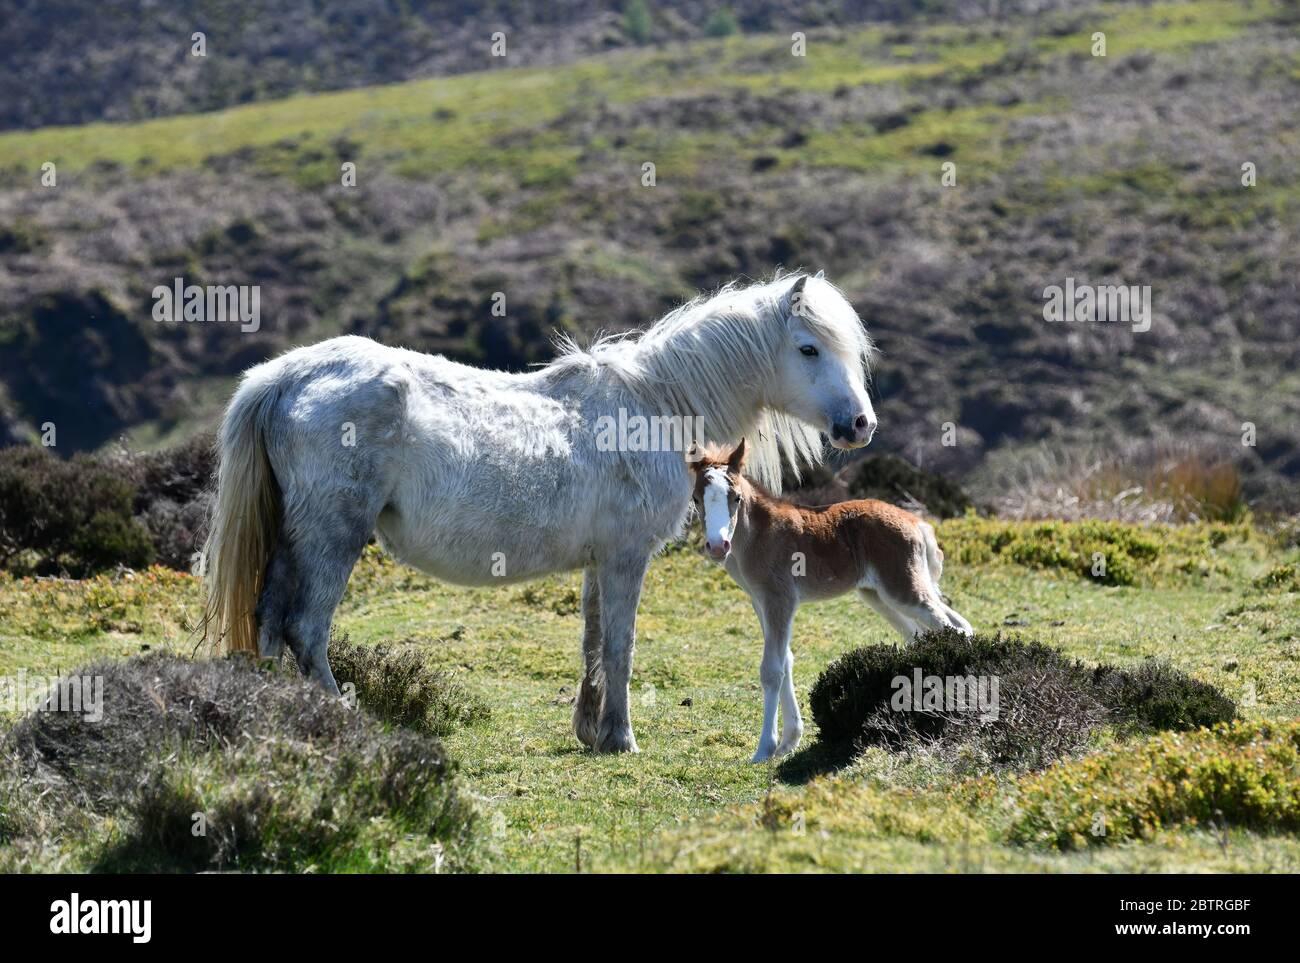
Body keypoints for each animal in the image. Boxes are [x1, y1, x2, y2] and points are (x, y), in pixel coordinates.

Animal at [201, 272, 877, 754]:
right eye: (809, 348)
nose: (860, 424)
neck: (653, 404)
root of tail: (286, 376)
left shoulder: (600, 560)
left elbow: (593, 640)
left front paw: (590, 728)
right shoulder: (627, 558)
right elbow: (621, 644)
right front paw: (620, 738)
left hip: (292, 538)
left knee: (268, 623)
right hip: (331, 536)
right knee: (305, 630)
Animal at [688, 439, 973, 762]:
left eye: (736, 497)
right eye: (696, 499)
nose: (717, 546)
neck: (758, 534)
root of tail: (916, 522)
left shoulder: (780, 598)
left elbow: (772, 669)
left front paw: (764, 749)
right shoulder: (759, 601)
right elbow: (786, 659)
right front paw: (788, 742)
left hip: (902, 589)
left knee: (954, 628)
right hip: (879, 595)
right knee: (940, 629)